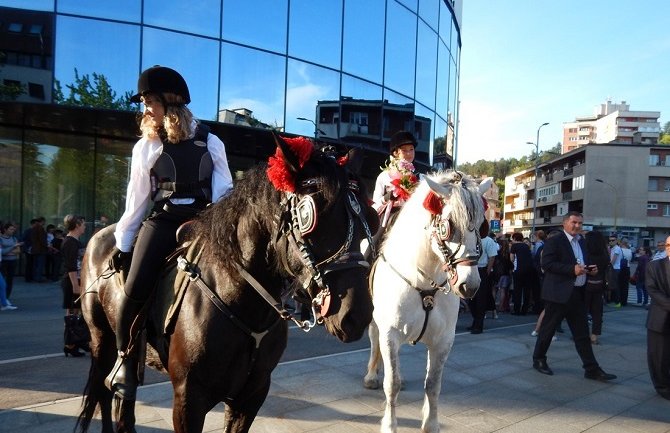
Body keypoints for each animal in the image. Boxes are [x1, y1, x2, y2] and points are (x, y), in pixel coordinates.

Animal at [77, 133, 380, 430]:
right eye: (310, 216)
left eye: (371, 219)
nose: (356, 314)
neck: (239, 298)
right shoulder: (188, 400)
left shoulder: (251, 395)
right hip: (101, 338)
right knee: (105, 390)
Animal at [364, 170, 490, 432]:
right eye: (448, 226)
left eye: (481, 226)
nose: (470, 285)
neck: (423, 280)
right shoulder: (390, 334)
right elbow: (391, 383)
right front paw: (389, 425)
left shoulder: (443, 341)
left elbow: (433, 384)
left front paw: (430, 424)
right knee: (373, 338)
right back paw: (372, 374)